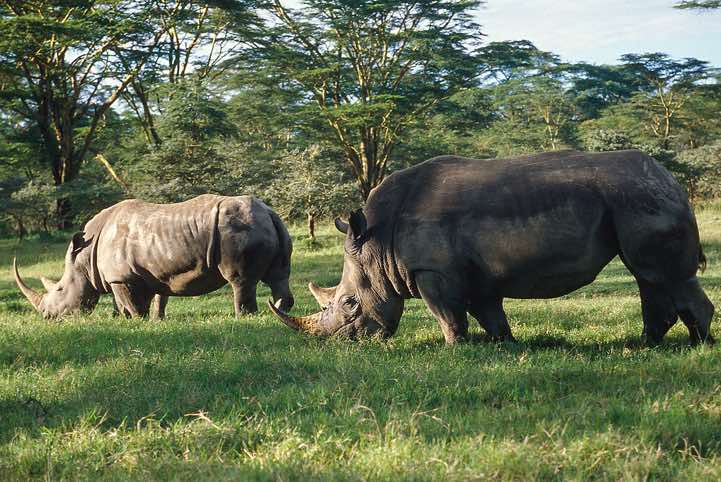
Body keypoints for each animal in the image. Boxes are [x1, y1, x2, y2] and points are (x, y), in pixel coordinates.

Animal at [14, 194, 294, 318]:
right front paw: (149, 320)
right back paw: (279, 309)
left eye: (60, 289)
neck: (84, 257)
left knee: (240, 280)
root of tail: (268, 211)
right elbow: (154, 299)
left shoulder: (120, 278)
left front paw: (137, 322)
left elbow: (132, 305)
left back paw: (243, 317)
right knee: (278, 276)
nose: (46, 316)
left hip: (238, 230)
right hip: (265, 225)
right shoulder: (150, 272)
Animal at [269, 150, 714, 345]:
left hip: (638, 197)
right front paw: (505, 345)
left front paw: (453, 349)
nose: (343, 342)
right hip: (635, 199)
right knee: (651, 277)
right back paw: (649, 344)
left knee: (660, 274)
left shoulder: (431, 271)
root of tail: (671, 178)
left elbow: (447, 313)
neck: (376, 245)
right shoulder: (476, 275)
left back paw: (697, 345)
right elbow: (488, 313)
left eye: (348, 304)